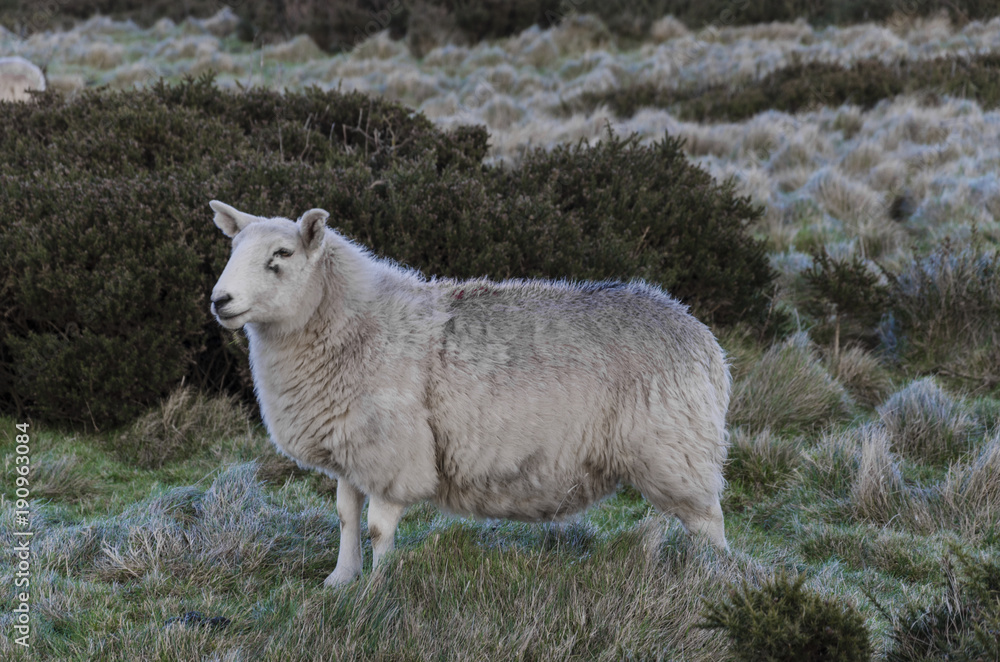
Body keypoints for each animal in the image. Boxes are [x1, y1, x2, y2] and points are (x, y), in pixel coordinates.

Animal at [209, 200, 731, 587]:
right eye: (232, 249)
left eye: (282, 254)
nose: (220, 301)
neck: (355, 322)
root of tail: (700, 335)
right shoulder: (353, 447)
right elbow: (344, 515)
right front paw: (341, 579)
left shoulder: (395, 453)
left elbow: (378, 528)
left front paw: (376, 589)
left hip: (676, 448)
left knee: (708, 522)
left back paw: (713, 577)